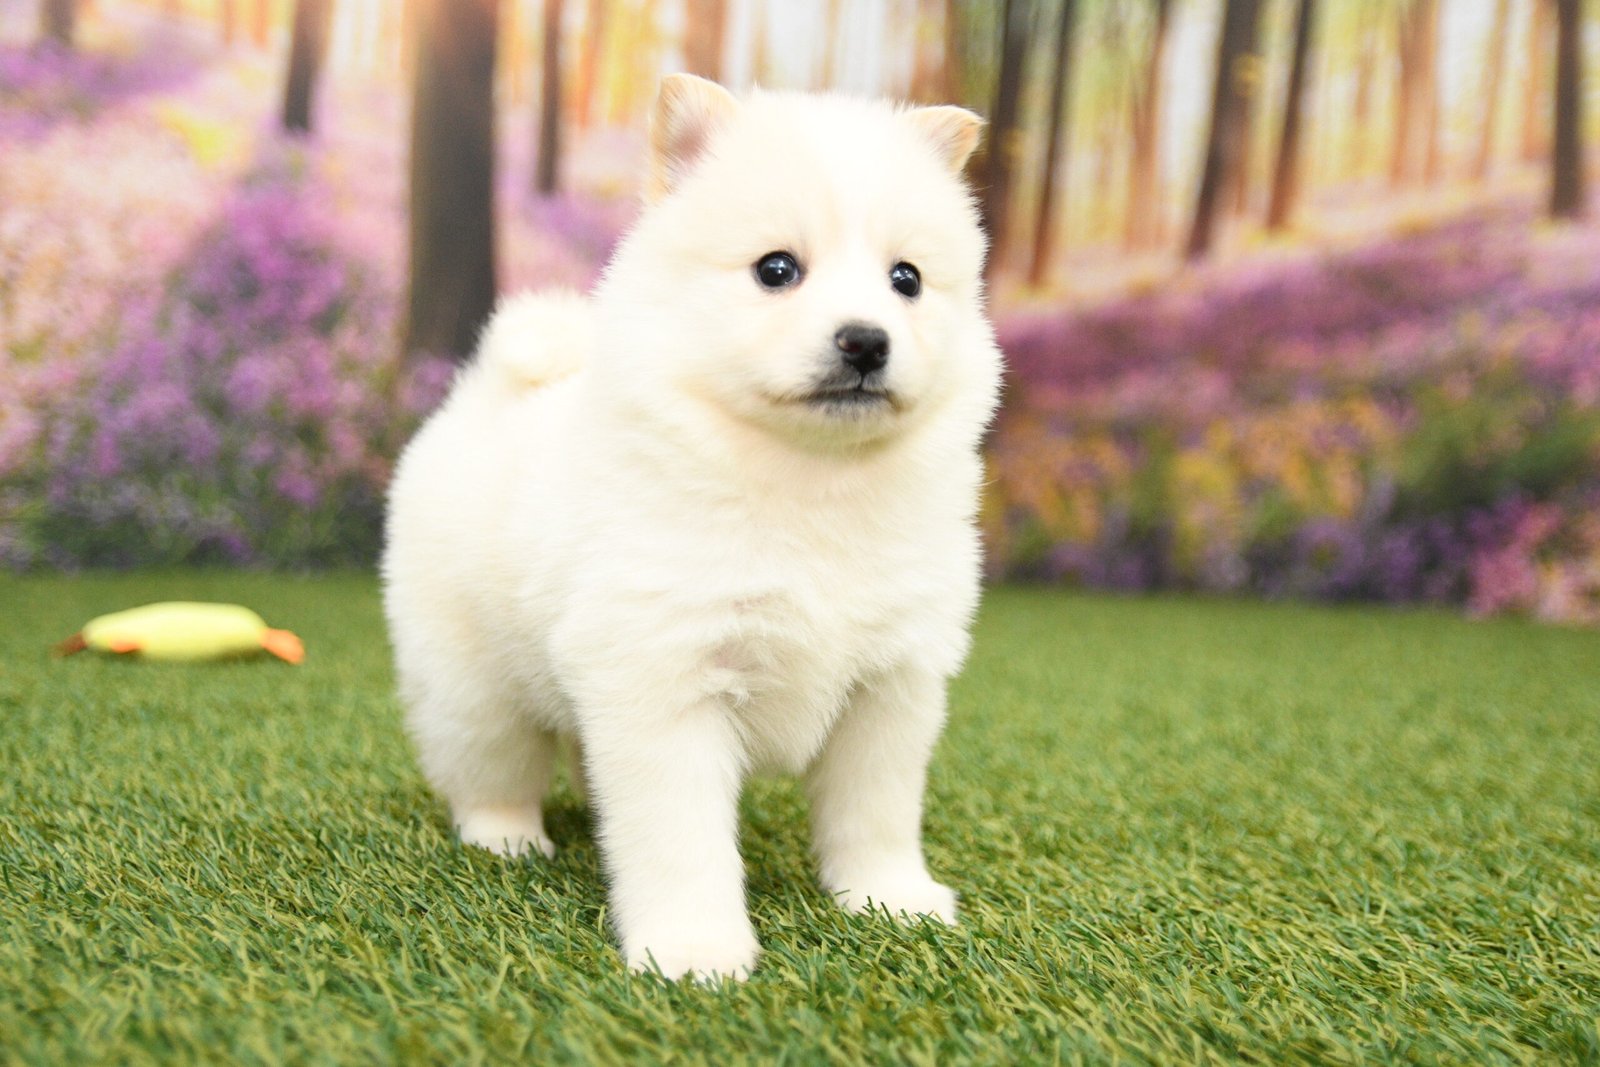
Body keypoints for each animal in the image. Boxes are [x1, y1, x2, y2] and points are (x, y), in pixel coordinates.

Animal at [383, 74, 1001, 980]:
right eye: (777, 269)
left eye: (907, 279)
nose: (865, 341)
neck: (809, 480)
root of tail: (485, 394)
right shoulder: (666, 675)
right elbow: (682, 838)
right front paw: (694, 948)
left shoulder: (892, 682)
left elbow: (876, 810)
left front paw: (889, 899)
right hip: (471, 678)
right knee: (490, 764)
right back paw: (507, 838)